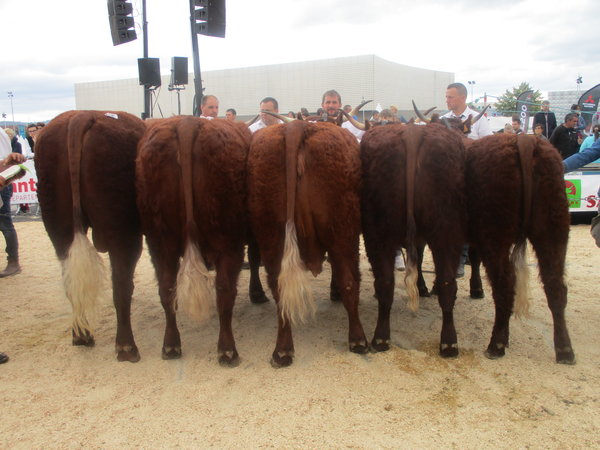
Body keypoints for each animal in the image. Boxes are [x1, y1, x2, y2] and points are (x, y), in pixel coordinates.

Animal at [35, 110, 147, 364]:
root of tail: (84, 115)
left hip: (59, 225)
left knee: (70, 280)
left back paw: (81, 335)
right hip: (123, 229)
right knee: (121, 284)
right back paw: (126, 346)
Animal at [135, 116, 250, 366]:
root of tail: (188, 122)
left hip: (159, 241)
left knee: (167, 288)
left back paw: (171, 345)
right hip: (228, 241)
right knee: (224, 290)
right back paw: (228, 350)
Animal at [246, 121, 368, 368]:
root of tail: (297, 125)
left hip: (271, 232)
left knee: (279, 287)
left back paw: (282, 351)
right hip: (344, 231)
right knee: (350, 281)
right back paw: (358, 340)